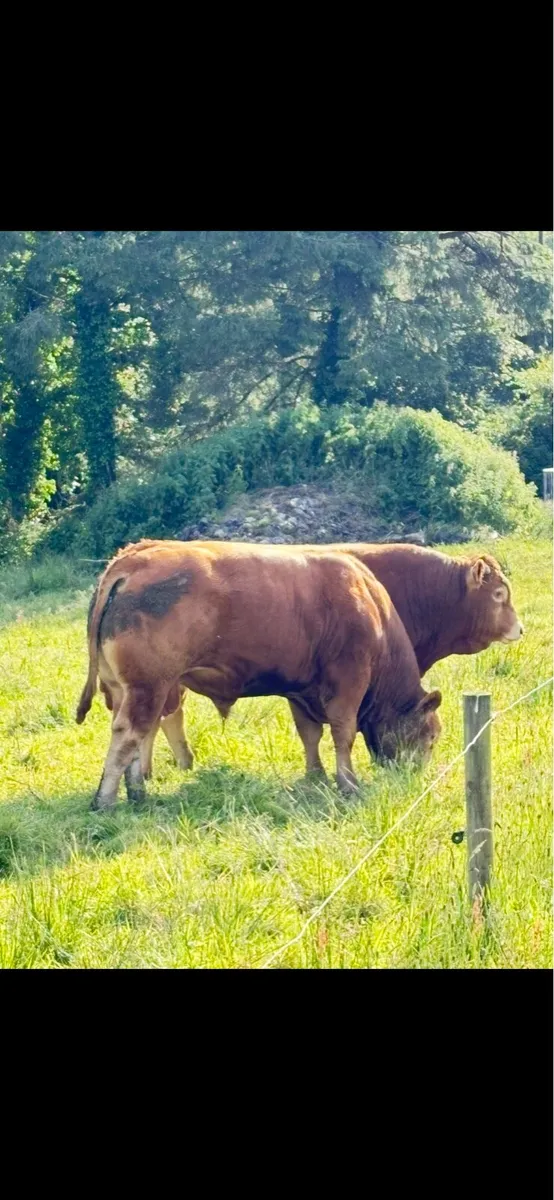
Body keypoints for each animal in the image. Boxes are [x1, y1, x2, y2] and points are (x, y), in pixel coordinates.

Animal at [76, 540, 442, 809]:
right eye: (431, 736)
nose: (417, 778)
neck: (370, 606)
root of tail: (134, 556)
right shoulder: (347, 684)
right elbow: (343, 734)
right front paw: (348, 783)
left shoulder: (301, 690)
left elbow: (310, 734)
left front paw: (316, 776)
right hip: (149, 687)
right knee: (129, 734)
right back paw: (105, 801)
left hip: (127, 690)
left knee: (137, 737)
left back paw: (137, 794)